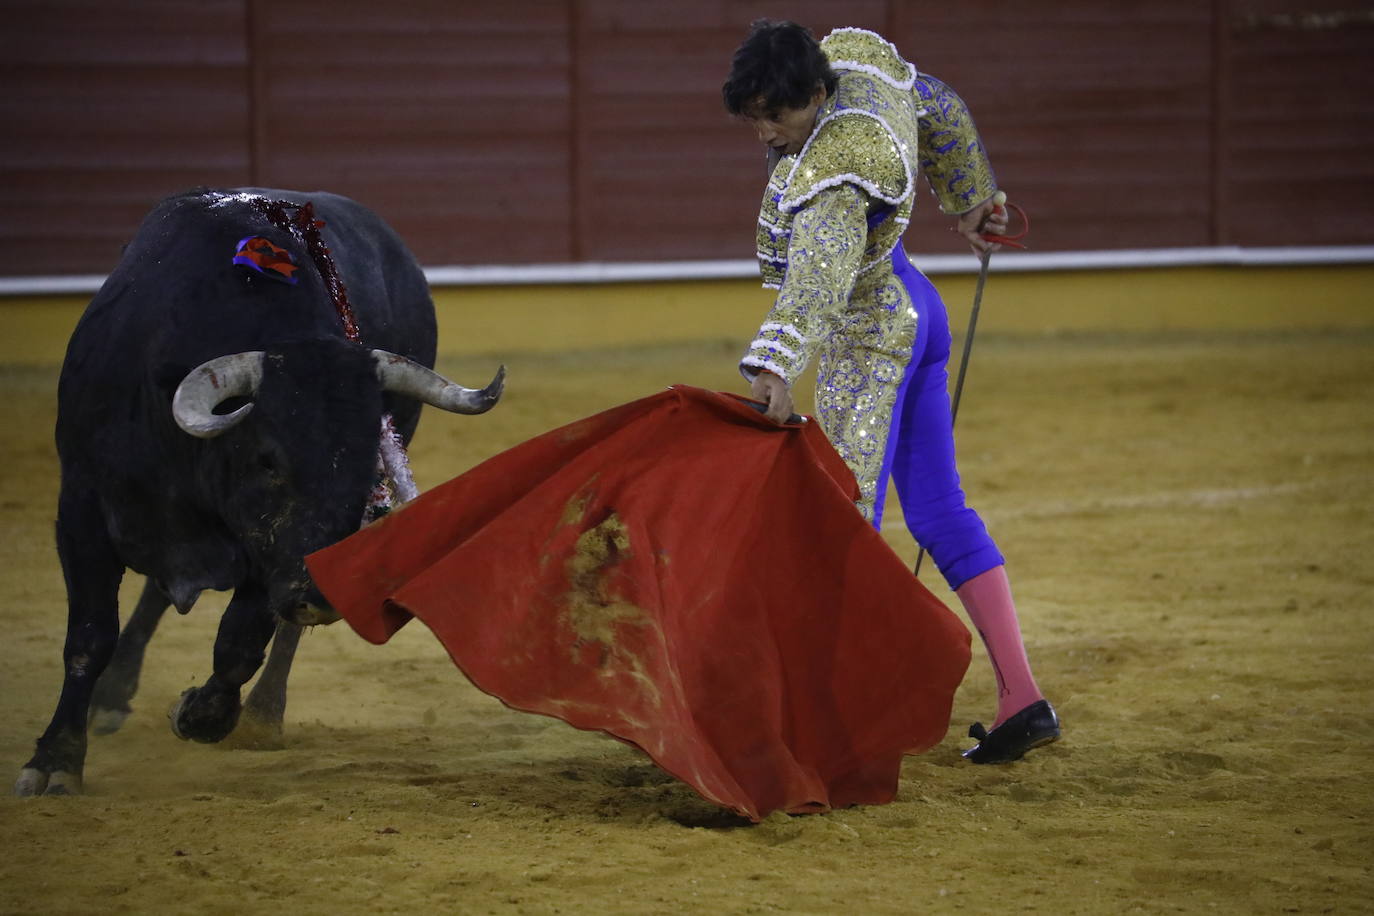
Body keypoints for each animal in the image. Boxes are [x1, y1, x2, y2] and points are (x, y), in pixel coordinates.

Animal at [16, 192, 505, 796]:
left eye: (368, 460)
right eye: (268, 458)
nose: (318, 593)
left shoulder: (265, 555)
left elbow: (239, 643)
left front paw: (199, 713)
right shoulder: (81, 512)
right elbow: (88, 637)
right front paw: (55, 761)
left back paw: (262, 716)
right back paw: (111, 698)